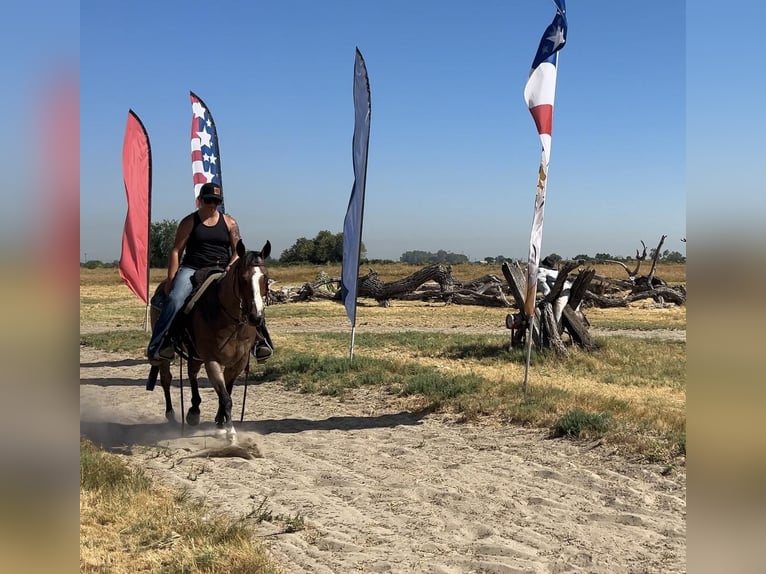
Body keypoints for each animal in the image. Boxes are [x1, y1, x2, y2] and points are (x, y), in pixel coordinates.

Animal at [148, 240, 272, 440]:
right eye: (242, 279)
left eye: (265, 278)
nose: (256, 317)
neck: (231, 321)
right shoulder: (212, 360)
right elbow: (225, 397)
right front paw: (230, 432)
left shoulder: (238, 362)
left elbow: (226, 393)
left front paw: (220, 424)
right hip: (168, 355)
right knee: (166, 379)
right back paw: (172, 416)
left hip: (196, 354)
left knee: (191, 373)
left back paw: (193, 411)